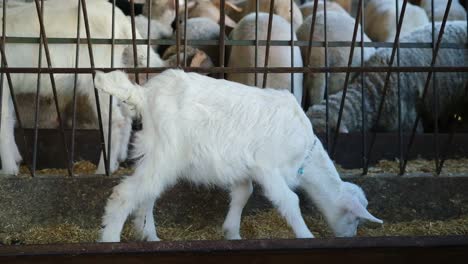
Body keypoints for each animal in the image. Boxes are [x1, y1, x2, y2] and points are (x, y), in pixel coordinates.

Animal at [0, 0, 165, 175]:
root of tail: (121, 20)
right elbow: (9, 119)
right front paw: (15, 161)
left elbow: (3, 121)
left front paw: (8, 170)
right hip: (115, 72)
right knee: (127, 114)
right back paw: (118, 159)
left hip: (99, 75)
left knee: (114, 120)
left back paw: (103, 169)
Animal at [93, 69, 382, 242]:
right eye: (354, 218)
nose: (350, 236)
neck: (304, 154)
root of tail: (144, 94)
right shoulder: (268, 168)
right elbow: (290, 201)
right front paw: (306, 236)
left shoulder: (245, 168)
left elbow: (244, 194)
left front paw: (232, 233)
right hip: (166, 154)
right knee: (125, 194)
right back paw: (111, 240)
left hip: (156, 153)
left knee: (147, 194)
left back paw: (150, 236)